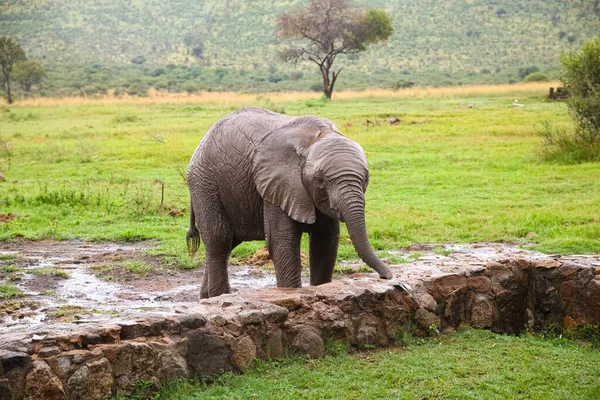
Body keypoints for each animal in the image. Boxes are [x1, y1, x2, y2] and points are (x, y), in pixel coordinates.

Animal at [188, 106, 394, 296]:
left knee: (229, 243)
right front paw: (291, 293)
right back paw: (219, 296)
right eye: (320, 180)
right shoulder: (276, 183)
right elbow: (282, 242)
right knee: (219, 240)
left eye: (365, 178)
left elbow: (326, 241)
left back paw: (205, 298)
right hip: (205, 184)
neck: (319, 135)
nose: (387, 276)